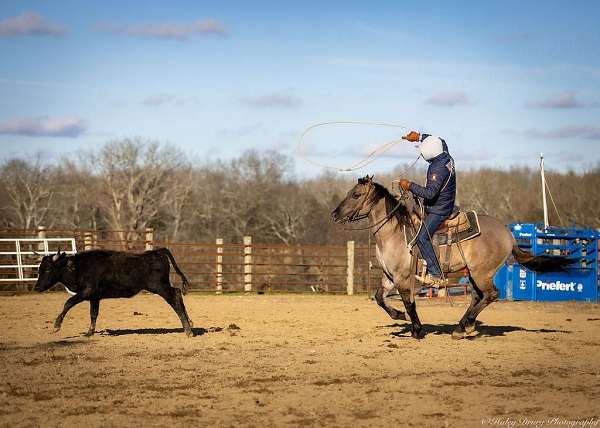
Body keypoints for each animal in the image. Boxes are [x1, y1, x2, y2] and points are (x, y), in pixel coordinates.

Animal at [332, 176, 572, 340]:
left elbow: (409, 303)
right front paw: (398, 316)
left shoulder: (402, 278)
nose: (334, 214)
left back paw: (465, 325)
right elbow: (380, 298)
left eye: (355, 195)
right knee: (478, 296)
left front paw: (417, 330)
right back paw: (463, 326)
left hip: (482, 273)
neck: (394, 232)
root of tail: (508, 233)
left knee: (491, 294)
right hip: (475, 274)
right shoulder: (389, 276)